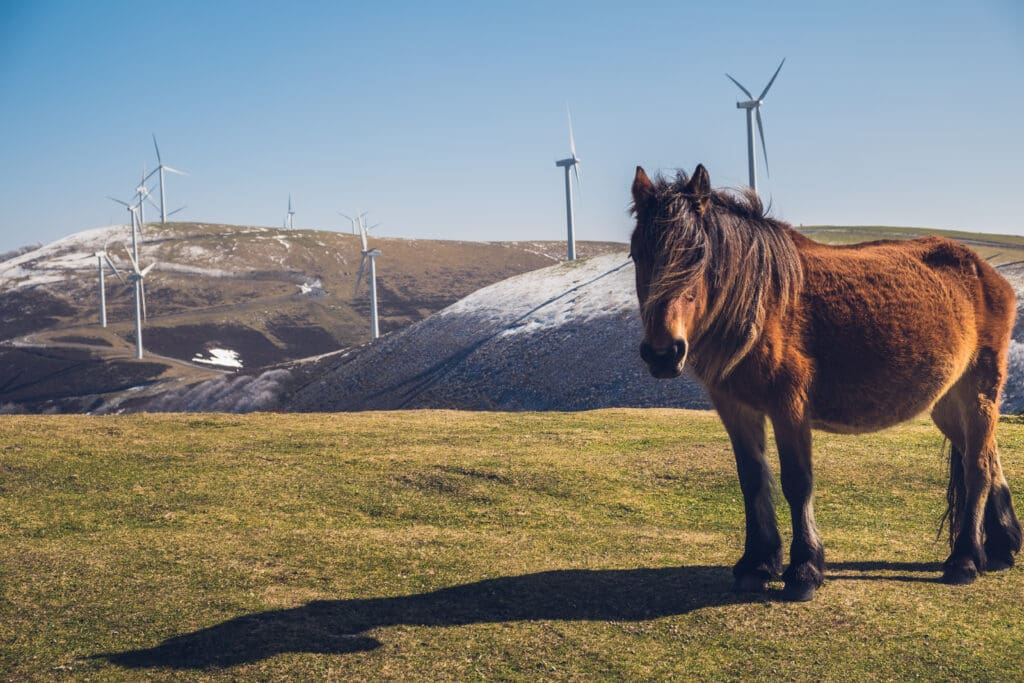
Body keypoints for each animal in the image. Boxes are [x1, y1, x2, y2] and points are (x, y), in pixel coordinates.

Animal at [626, 162, 1019, 602]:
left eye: (698, 256)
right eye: (637, 254)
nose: (663, 353)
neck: (763, 302)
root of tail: (987, 273)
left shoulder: (789, 407)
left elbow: (797, 482)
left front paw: (804, 570)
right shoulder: (736, 408)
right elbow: (752, 479)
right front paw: (757, 563)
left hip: (978, 391)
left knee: (977, 468)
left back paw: (965, 559)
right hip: (947, 404)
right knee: (986, 458)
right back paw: (1001, 547)